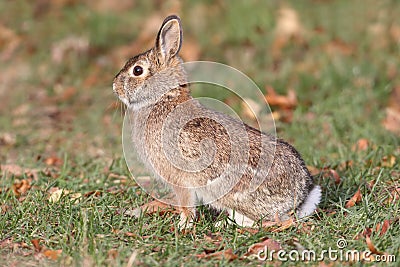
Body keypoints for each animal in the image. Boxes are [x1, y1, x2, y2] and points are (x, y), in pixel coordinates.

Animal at [113, 14, 322, 229]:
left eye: (138, 70)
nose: (115, 87)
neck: (164, 97)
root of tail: (300, 198)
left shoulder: (180, 178)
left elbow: (186, 204)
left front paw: (183, 226)